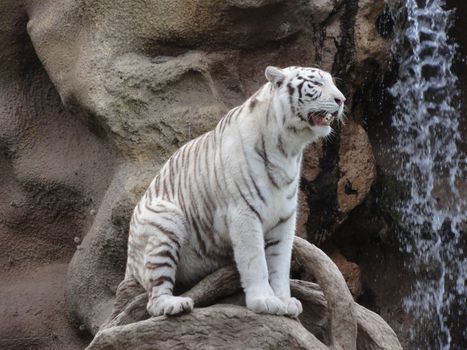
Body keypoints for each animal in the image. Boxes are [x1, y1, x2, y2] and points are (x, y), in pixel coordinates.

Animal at [126, 65, 346, 318]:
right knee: (154, 297)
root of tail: (128, 264)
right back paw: (173, 304)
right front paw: (265, 301)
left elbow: (280, 264)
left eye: (333, 83)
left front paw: (285, 301)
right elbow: (256, 261)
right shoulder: (244, 212)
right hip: (165, 220)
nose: (342, 100)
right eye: (316, 84)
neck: (288, 149)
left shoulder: (284, 219)